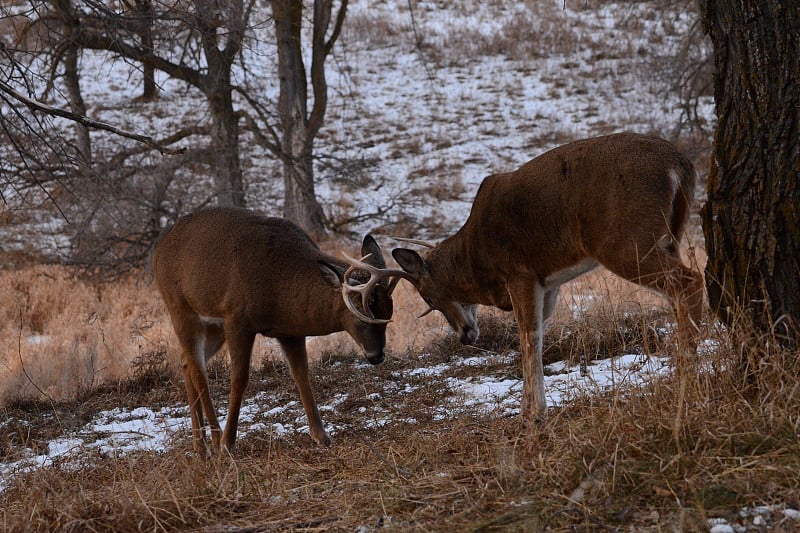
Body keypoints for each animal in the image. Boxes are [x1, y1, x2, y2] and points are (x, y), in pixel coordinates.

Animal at [153, 206, 412, 450]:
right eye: (361, 316)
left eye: (388, 315)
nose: (376, 355)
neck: (280, 286)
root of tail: (160, 246)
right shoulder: (237, 318)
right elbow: (239, 378)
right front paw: (229, 442)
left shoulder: (289, 331)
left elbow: (302, 374)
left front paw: (321, 436)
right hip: (180, 307)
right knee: (199, 371)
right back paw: (216, 439)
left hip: (213, 325)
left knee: (186, 362)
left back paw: (200, 446)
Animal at [390, 134, 704, 424]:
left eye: (429, 298)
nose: (464, 336)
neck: (475, 257)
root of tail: (681, 164)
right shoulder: (547, 284)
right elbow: (539, 337)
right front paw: (528, 408)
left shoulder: (519, 273)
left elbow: (527, 336)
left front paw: (532, 414)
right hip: (668, 237)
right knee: (679, 293)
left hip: (628, 241)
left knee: (690, 281)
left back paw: (686, 382)